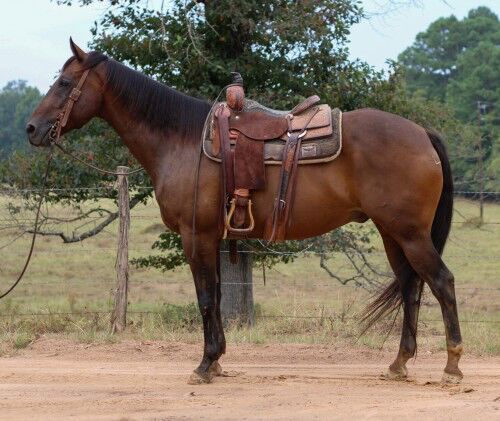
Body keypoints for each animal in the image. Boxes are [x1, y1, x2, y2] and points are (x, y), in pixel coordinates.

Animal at [27, 39, 462, 384]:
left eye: (64, 83)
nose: (32, 129)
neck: (181, 140)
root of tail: (422, 133)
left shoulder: (196, 235)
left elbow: (205, 296)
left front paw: (205, 365)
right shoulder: (213, 238)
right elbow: (218, 295)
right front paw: (217, 360)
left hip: (409, 233)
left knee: (441, 281)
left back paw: (452, 366)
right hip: (393, 234)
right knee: (411, 286)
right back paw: (399, 363)